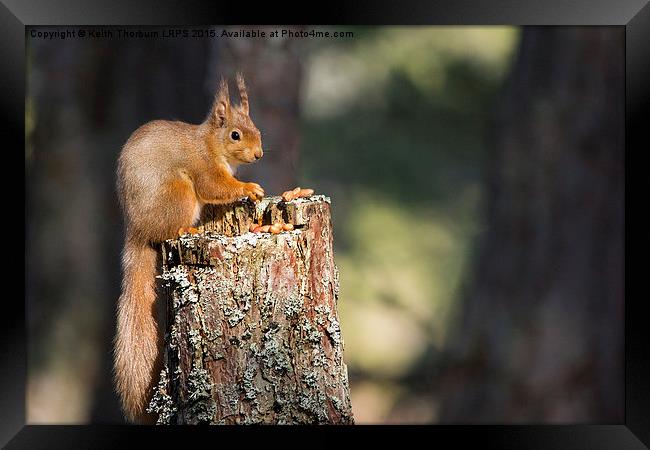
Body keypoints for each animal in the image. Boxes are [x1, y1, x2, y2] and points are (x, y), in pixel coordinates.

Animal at [113, 73, 264, 422]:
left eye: (256, 129)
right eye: (235, 135)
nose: (259, 154)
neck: (208, 143)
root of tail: (138, 231)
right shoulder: (203, 167)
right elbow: (214, 187)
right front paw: (248, 188)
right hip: (179, 192)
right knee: (175, 223)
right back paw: (187, 228)